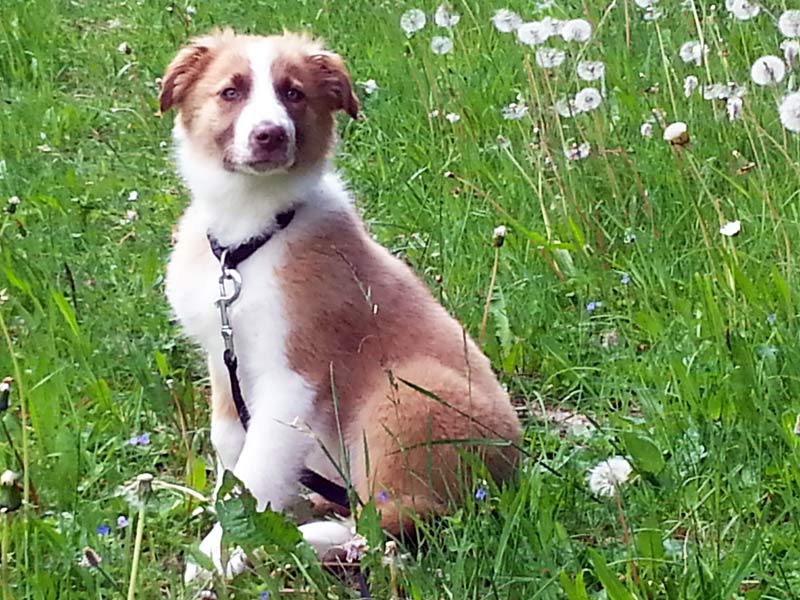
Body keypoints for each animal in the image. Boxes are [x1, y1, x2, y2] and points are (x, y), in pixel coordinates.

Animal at [159, 29, 520, 580]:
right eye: (231, 92)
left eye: (294, 93)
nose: (270, 136)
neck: (247, 236)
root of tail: (510, 476)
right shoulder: (225, 362)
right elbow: (232, 453)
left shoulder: (292, 379)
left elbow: (257, 472)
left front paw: (219, 553)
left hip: (407, 395)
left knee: (397, 522)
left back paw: (312, 542)